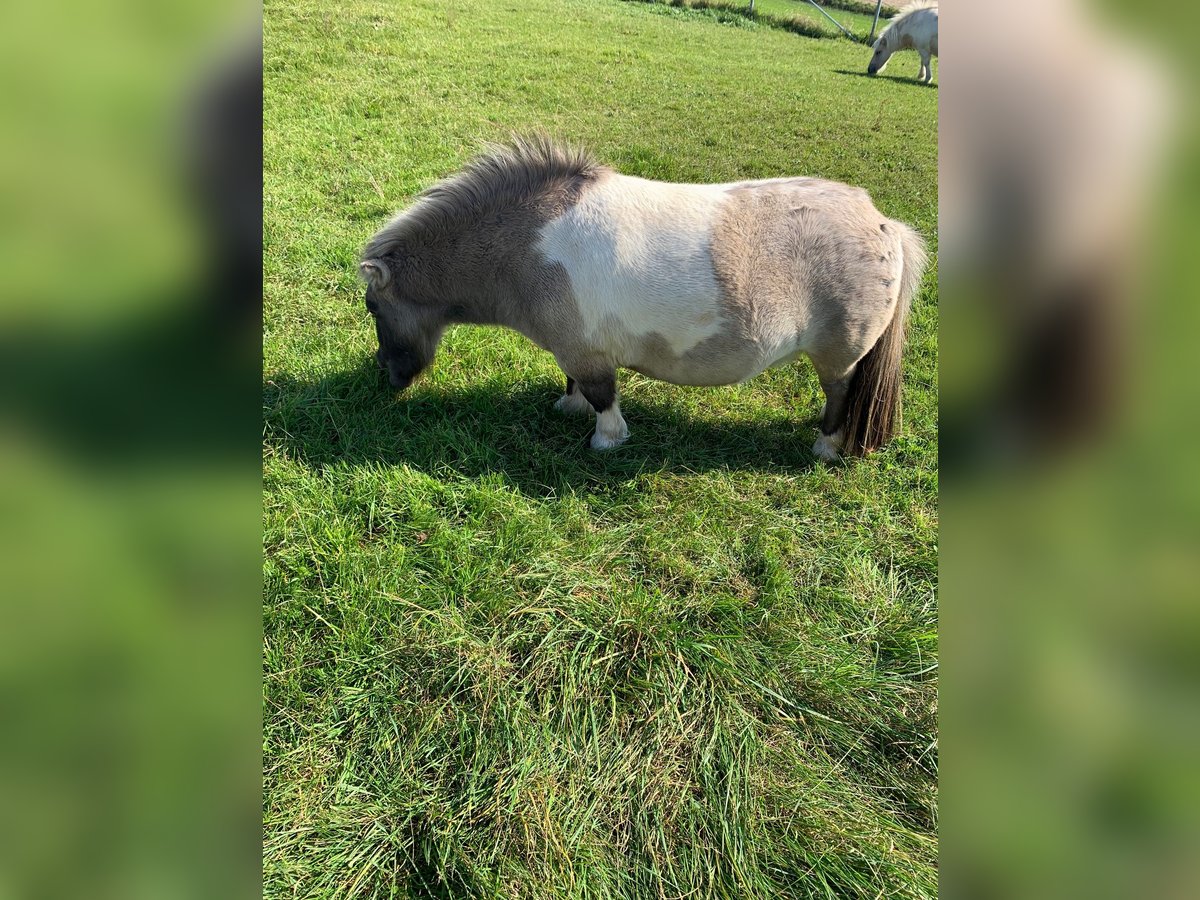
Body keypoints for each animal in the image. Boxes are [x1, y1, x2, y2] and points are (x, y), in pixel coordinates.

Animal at [360, 137, 931, 460]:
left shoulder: (587, 354)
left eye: (371, 307)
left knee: (840, 394)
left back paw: (825, 447)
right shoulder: (576, 347)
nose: (386, 377)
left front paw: (605, 441)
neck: (528, 241)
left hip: (840, 355)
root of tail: (885, 224)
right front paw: (567, 407)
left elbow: (603, 397)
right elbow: (575, 386)